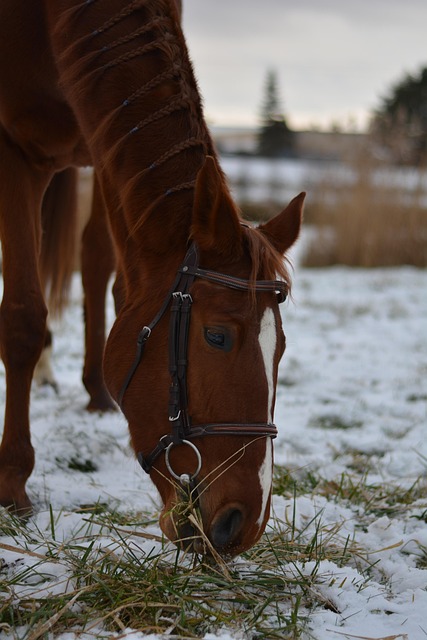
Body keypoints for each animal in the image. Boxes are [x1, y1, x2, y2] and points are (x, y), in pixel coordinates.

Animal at [0, 0, 304, 557]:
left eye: (282, 349)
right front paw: (12, 480)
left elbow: (110, 275)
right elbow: (23, 317)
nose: (243, 524)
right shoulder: (14, 153)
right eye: (216, 336)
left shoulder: (104, 146)